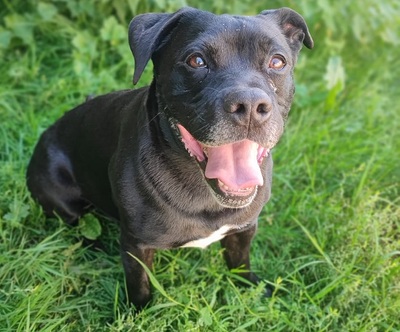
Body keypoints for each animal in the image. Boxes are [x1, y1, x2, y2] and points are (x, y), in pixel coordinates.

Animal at [25, 7, 312, 308]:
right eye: (196, 60)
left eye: (277, 61)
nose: (250, 106)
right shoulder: (137, 246)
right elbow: (139, 286)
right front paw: (138, 312)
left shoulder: (243, 229)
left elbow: (240, 262)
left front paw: (251, 289)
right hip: (58, 196)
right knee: (78, 225)